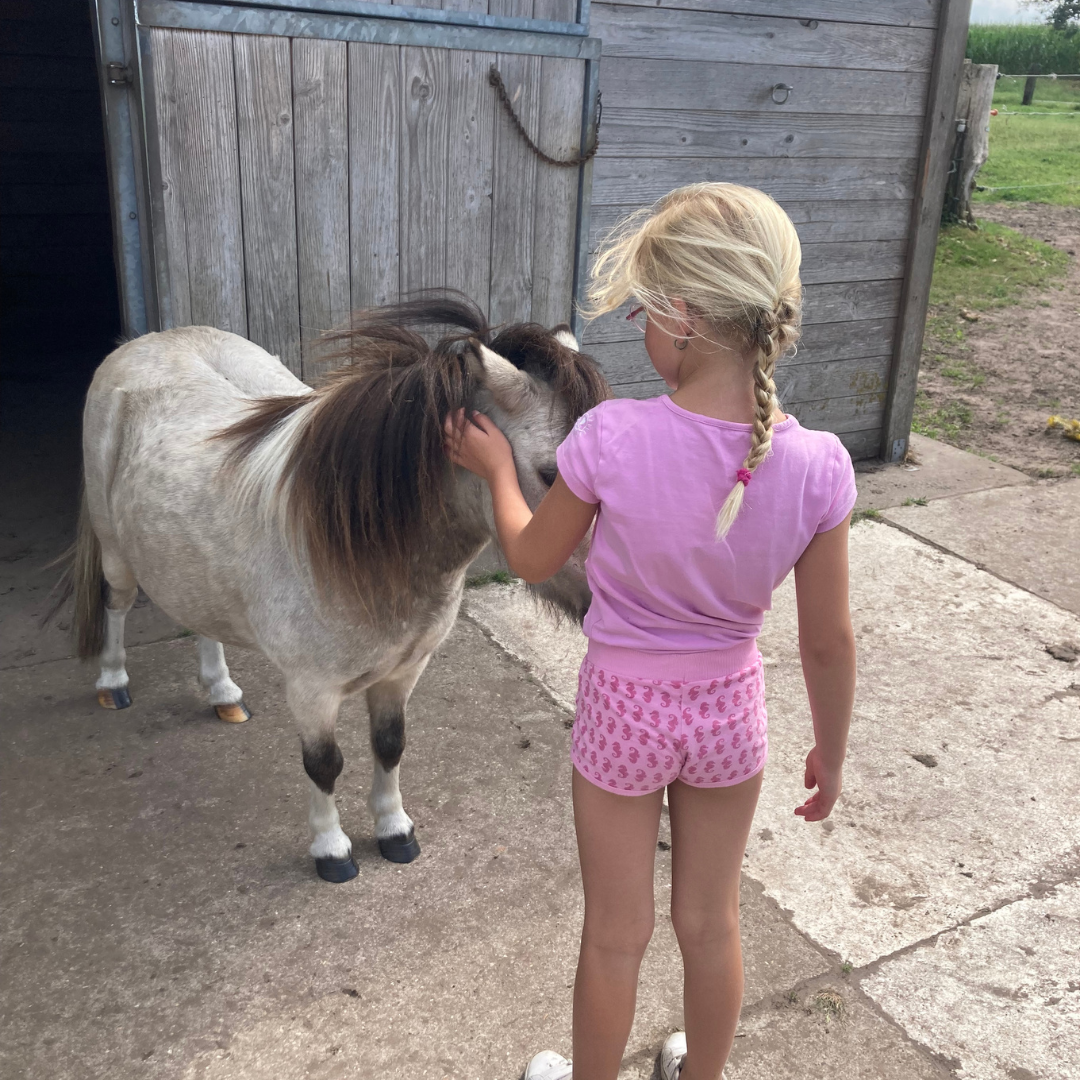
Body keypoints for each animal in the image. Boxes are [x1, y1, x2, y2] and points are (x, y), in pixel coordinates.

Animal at [55, 296, 609, 882]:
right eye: (551, 474)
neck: (360, 544)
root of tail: (147, 342)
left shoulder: (403, 673)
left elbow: (389, 746)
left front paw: (394, 829)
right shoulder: (311, 691)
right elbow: (324, 764)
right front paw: (331, 848)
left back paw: (223, 693)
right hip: (116, 556)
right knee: (116, 606)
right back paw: (112, 682)